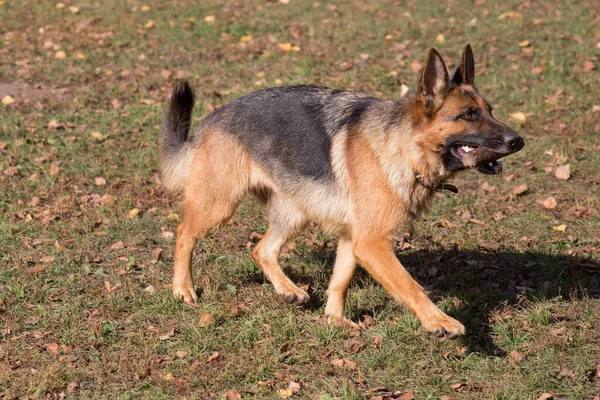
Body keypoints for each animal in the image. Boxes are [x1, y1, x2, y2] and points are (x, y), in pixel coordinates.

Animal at [162, 44, 524, 338]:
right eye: (468, 115)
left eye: (490, 110)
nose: (518, 141)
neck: (405, 149)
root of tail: (210, 120)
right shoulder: (373, 243)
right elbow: (411, 285)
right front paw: (439, 322)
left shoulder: (355, 238)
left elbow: (341, 280)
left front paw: (335, 321)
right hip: (219, 205)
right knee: (184, 234)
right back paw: (182, 289)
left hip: (295, 213)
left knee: (262, 250)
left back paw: (289, 290)